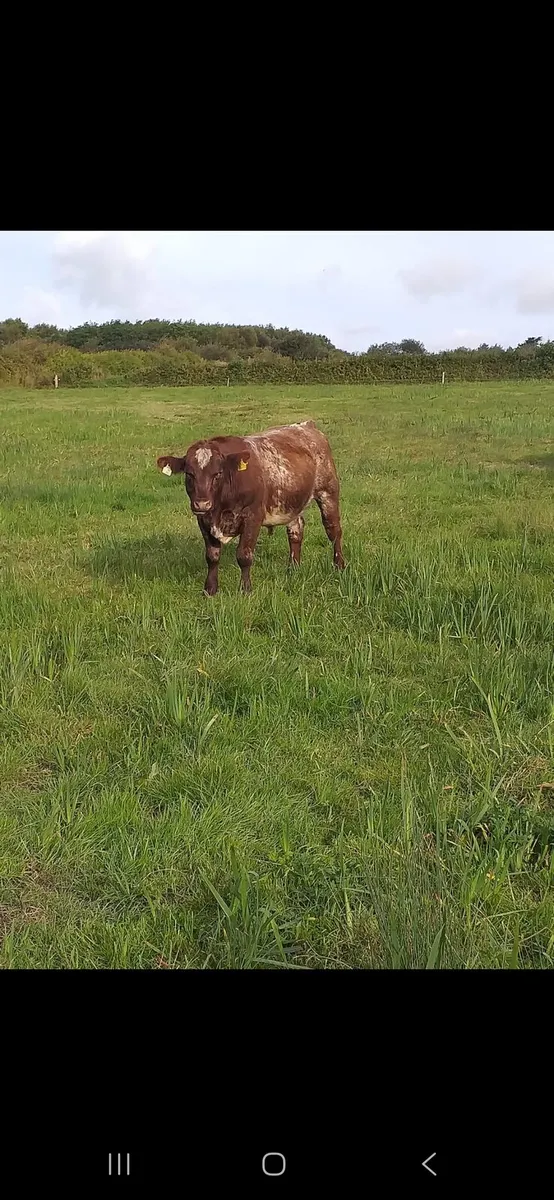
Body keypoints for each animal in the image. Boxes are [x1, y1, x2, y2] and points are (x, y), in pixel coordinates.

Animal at [156, 420, 345, 595]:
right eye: (189, 474)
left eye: (218, 473)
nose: (202, 503)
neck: (221, 509)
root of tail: (306, 425)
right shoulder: (203, 520)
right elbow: (212, 556)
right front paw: (210, 590)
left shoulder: (253, 517)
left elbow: (244, 555)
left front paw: (245, 590)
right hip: (292, 503)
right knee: (295, 532)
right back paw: (293, 568)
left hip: (328, 491)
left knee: (333, 530)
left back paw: (339, 566)